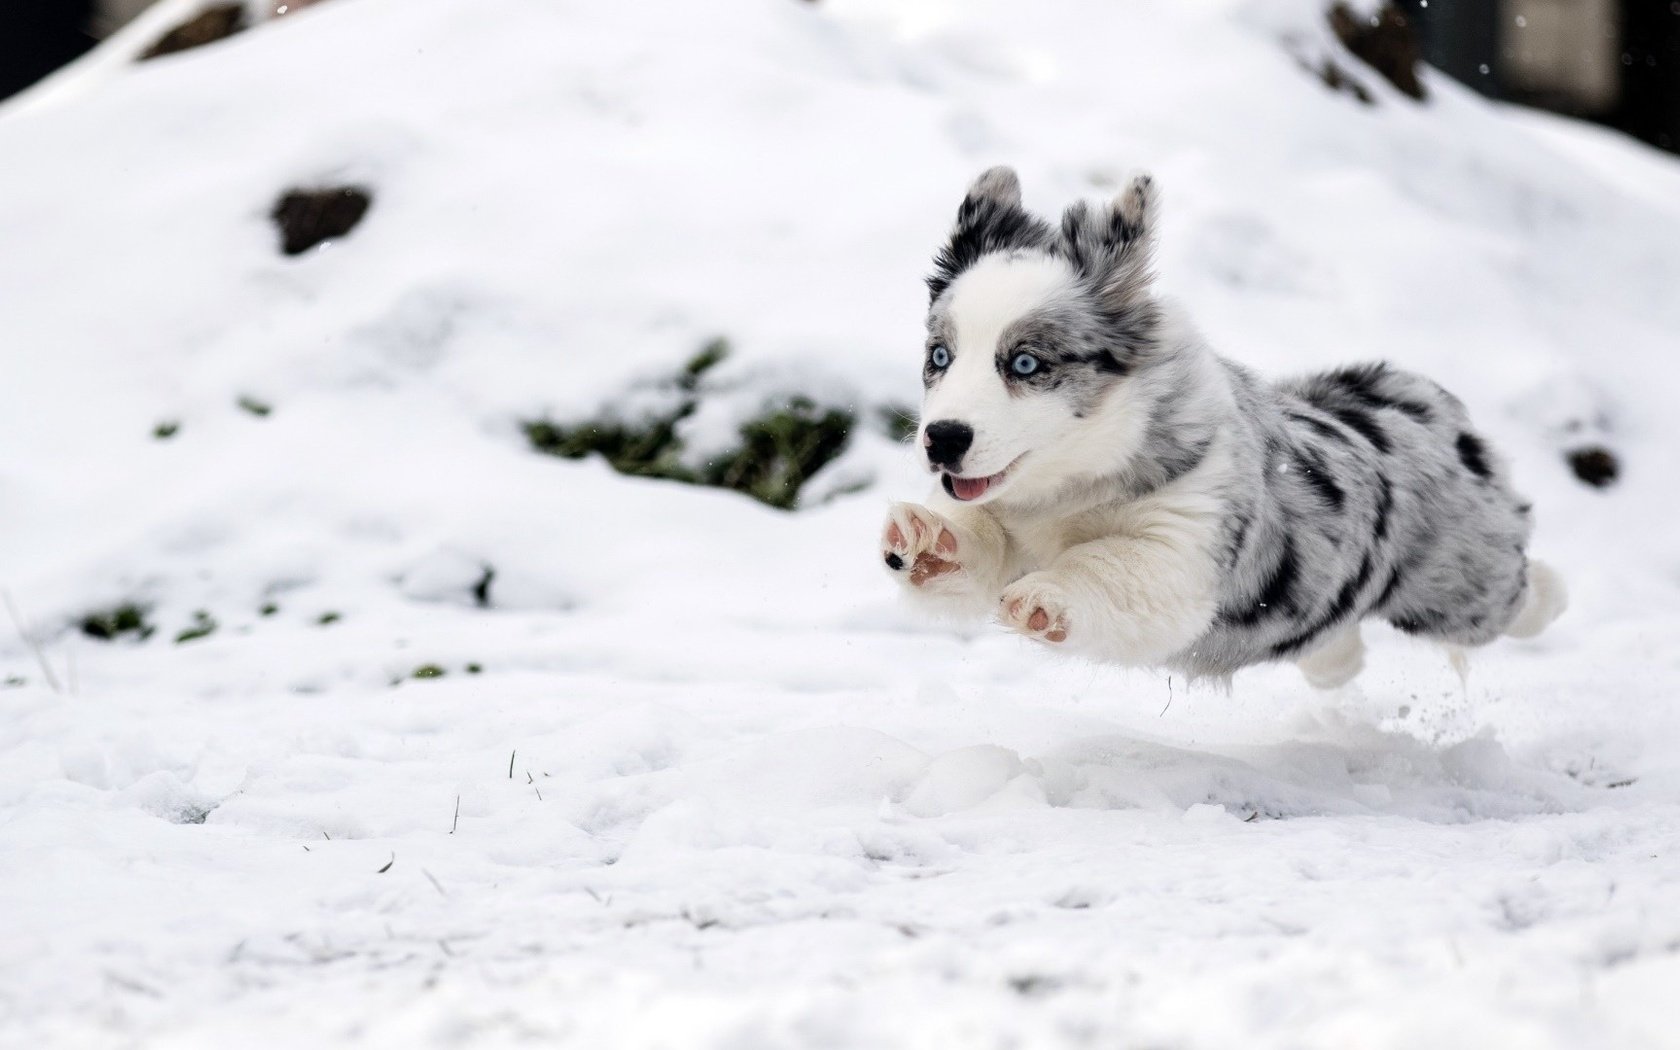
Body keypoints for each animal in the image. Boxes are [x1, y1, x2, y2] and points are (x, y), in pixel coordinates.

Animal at [887, 168, 1565, 685]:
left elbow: (1107, 562)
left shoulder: (1183, 548)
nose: (943, 439)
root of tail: (1415, 398)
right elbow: (977, 543)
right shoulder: (1005, 520)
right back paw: (1337, 668)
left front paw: (1044, 597)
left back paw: (1553, 594)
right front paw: (927, 540)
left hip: (1464, 584)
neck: (1069, 485)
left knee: (1515, 592)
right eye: (940, 357)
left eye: (1026, 363)